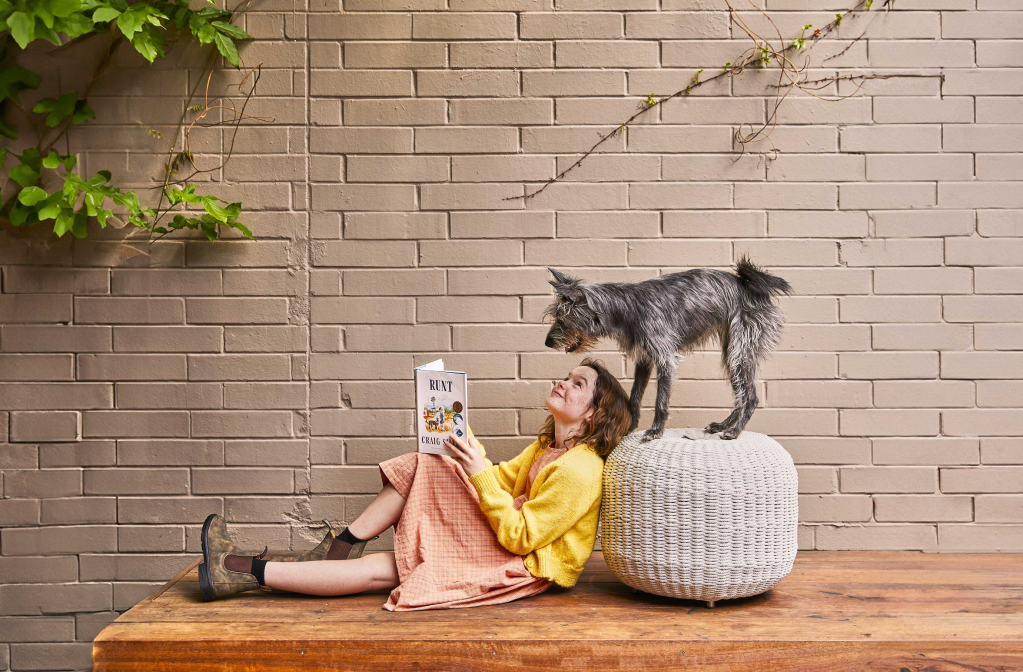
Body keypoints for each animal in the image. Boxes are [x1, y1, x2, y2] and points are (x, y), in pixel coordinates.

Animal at [544, 255, 789, 439]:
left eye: (561, 319)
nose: (547, 342)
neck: (626, 308)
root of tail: (752, 287)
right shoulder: (644, 360)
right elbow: (635, 397)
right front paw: (630, 427)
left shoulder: (665, 359)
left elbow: (660, 400)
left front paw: (655, 431)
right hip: (731, 352)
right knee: (741, 396)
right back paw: (723, 425)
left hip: (739, 352)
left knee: (751, 397)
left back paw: (735, 431)